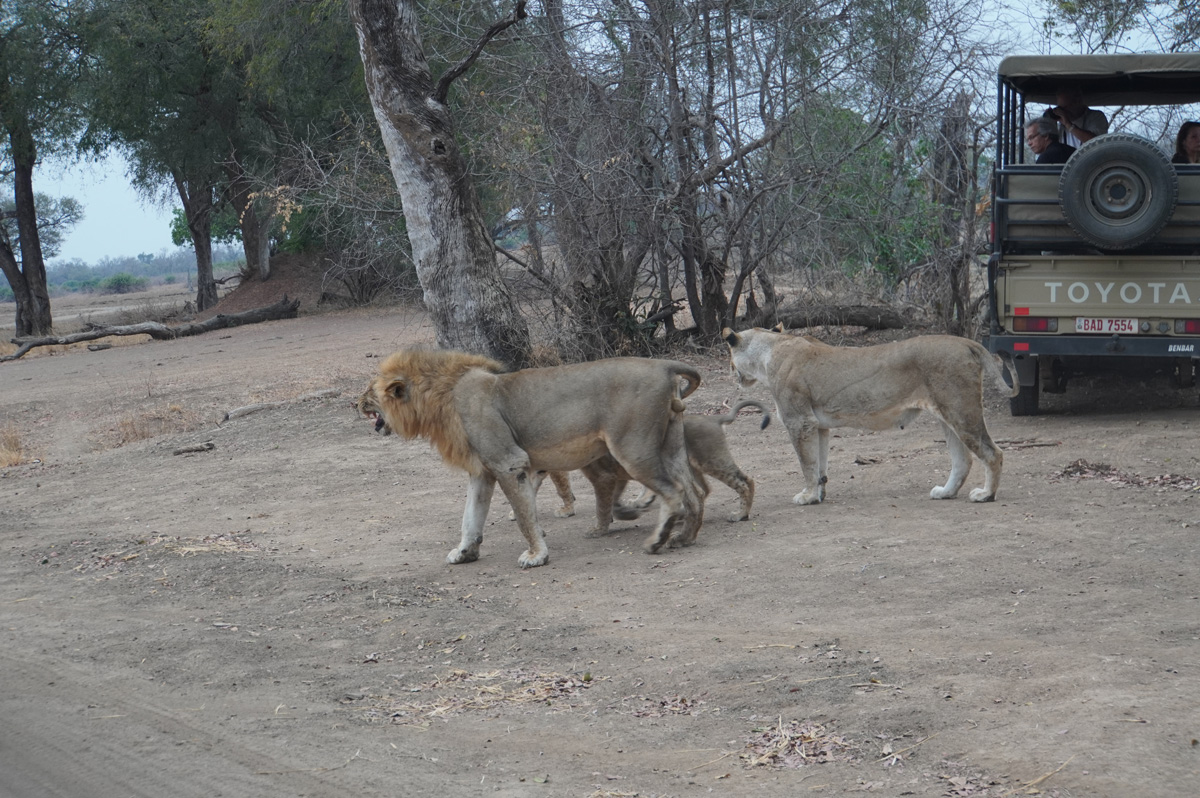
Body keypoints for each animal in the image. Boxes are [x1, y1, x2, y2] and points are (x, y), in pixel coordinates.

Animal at [357, 349, 706, 568]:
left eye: (369, 390)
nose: (355, 403)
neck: (439, 400)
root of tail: (662, 365)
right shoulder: (482, 471)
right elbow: (470, 517)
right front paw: (465, 552)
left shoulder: (509, 462)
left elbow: (525, 517)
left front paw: (537, 555)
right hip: (670, 447)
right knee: (694, 494)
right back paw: (684, 538)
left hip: (632, 448)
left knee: (674, 492)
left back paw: (657, 541)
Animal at [722, 327, 1018, 505]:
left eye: (730, 359)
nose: (733, 375)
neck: (770, 351)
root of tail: (966, 342)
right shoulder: (818, 426)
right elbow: (820, 465)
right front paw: (818, 494)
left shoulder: (799, 422)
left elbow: (807, 464)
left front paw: (806, 496)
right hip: (947, 416)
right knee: (963, 460)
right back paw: (946, 493)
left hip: (961, 411)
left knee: (993, 453)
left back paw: (986, 494)